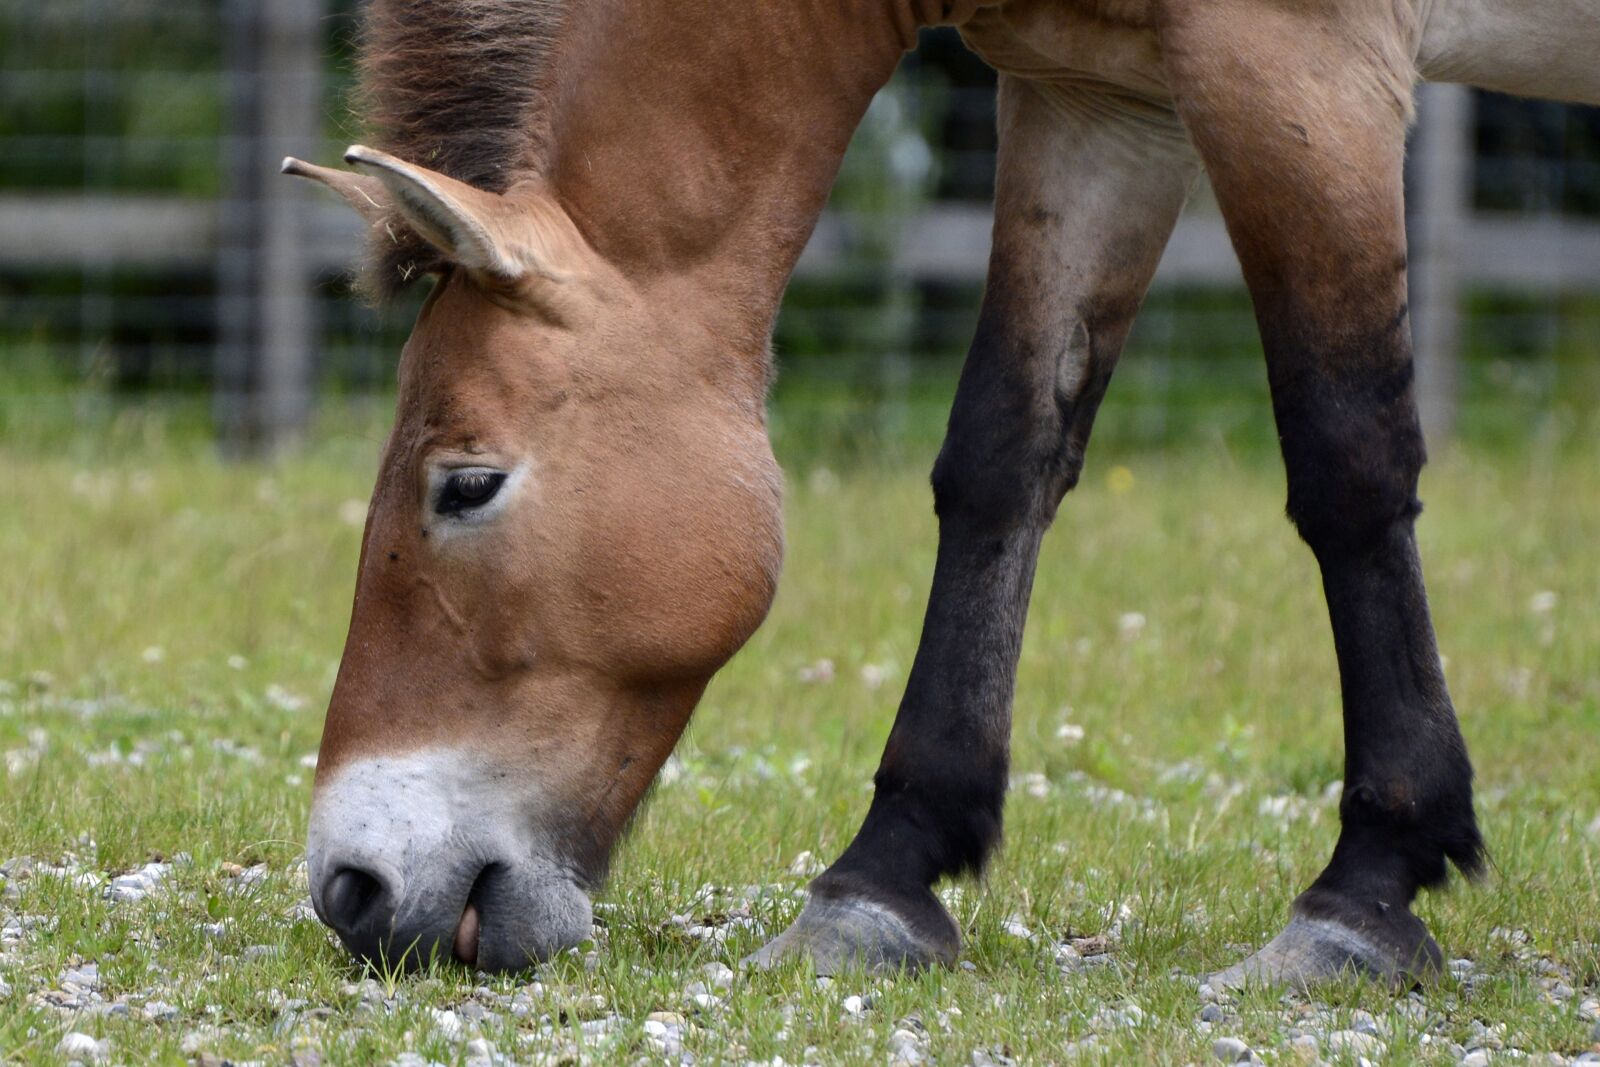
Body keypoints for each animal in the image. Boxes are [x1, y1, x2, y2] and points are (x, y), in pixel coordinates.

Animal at [284, 0, 1600, 980]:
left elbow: (1347, 459)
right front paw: (883, 877)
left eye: (467, 485)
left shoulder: (1299, 70)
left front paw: (1364, 891)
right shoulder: (1097, 100)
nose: (351, 886)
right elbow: (1000, 461)